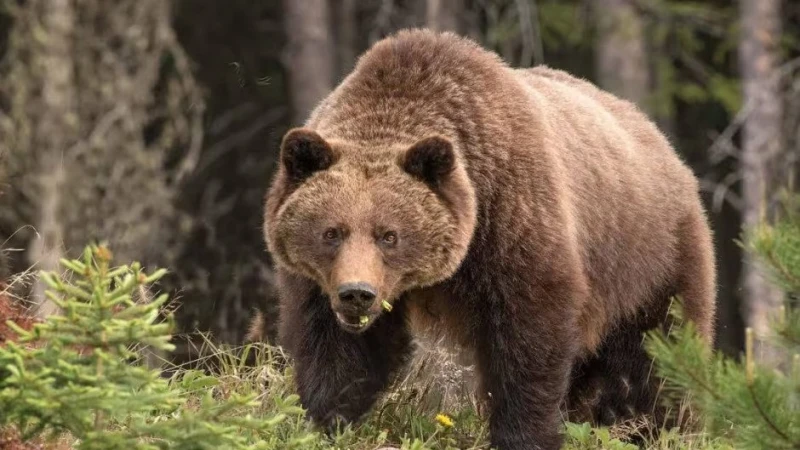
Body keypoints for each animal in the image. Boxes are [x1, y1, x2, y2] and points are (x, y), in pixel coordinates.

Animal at [262, 29, 720, 448]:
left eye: (389, 235)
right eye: (331, 232)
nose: (357, 293)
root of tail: (665, 146)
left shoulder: (512, 222)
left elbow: (527, 344)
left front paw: (523, 434)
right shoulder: (320, 284)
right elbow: (338, 351)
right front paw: (326, 420)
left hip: (651, 260)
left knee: (655, 359)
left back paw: (661, 429)